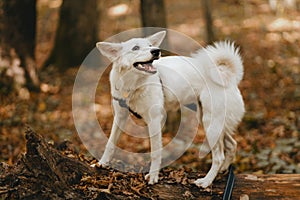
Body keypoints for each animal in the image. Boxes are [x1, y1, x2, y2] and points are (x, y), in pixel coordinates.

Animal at [95, 30, 245, 188]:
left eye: (150, 45)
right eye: (135, 48)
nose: (156, 51)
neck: (133, 85)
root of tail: (226, 75)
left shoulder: (155, 121)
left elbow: (155, 152)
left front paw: (153, 176)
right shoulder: (120, 117)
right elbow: (110, 143)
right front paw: (102, 163)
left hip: (211, 124)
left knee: (219, 156)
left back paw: (206, 181)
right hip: (211, 122)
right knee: (232, 145)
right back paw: (223, 170)